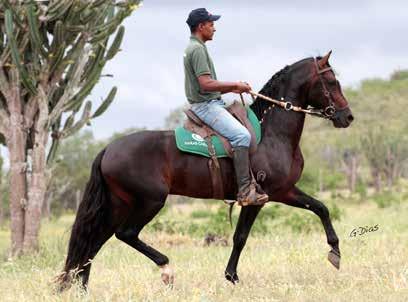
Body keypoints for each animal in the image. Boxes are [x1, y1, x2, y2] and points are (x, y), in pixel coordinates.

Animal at [58, 52, 354, 290]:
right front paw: (231, 276)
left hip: (119, 204)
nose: (347, 116)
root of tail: (108, 149)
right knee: (125, 234)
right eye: (331, 82)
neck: (271, 133)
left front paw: (335, 252)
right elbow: (240, 237)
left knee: (95, 242)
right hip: (149, 201)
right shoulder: (259, 198)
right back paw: (166, 269)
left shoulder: (285, 191)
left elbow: (321, 208)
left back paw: (82, 287)